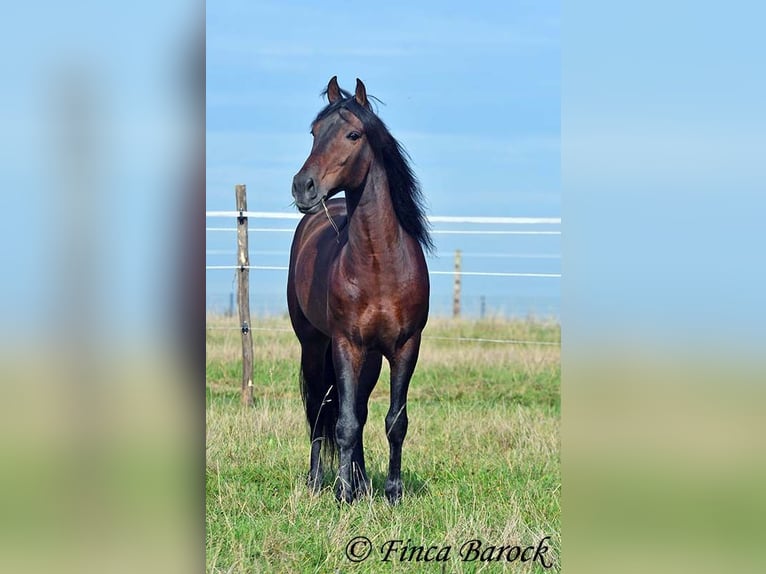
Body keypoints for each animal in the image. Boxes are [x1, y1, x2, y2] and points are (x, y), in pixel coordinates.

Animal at [287, 76, 433, 504]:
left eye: (353, 134)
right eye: (315, 133)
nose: (303, 186)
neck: (379, 265)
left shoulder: (405, 345)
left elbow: (393, 421)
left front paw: (392, 492)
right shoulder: (344, 343)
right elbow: (345, 422)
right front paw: (343, 494)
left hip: (369, 356)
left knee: (361, 409)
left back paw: (364, 480)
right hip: (314, 344)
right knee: (320, 409)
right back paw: (319, 480)